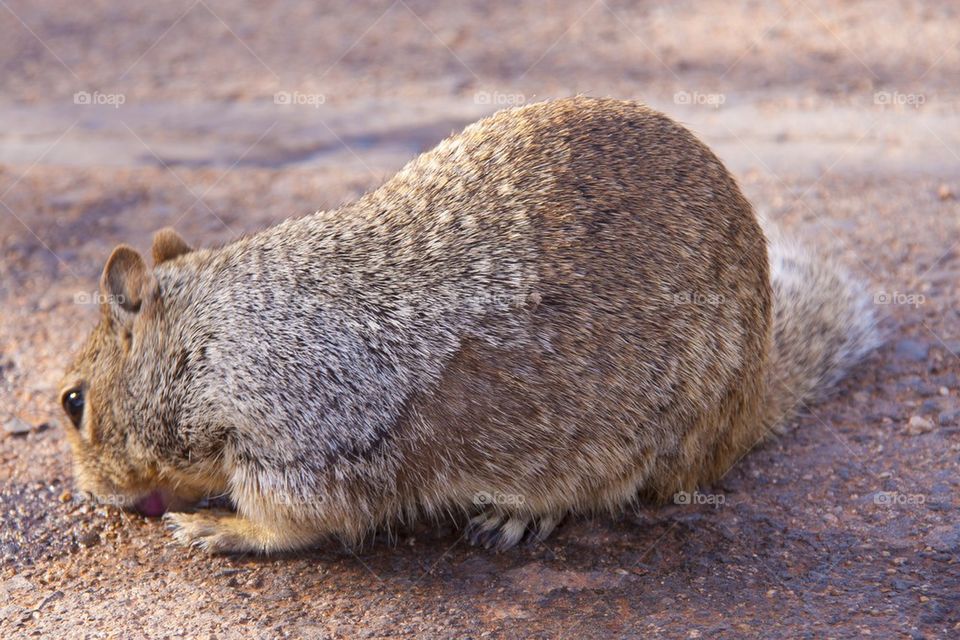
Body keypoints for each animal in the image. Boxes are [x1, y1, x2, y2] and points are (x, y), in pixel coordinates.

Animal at [60, 96, 880, 556]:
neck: (205, 335)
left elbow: (297, 522)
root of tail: (750, 409)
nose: (93, 495)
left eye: (73, 402)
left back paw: (519, 518)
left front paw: (217, 529)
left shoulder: (297, 436)